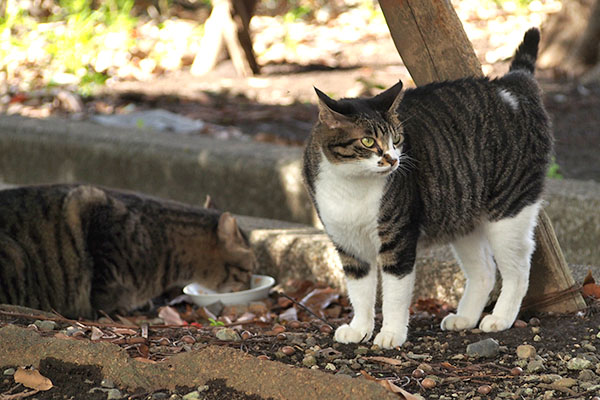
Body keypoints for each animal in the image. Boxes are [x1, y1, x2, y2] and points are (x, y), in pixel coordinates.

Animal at [0, 184, 255, 318]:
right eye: (251, 270)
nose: (251, 284)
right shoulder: (91, 210)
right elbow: (100, 290)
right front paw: (112, 310)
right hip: (15, 255)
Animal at [304, 28, 552, 346]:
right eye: (368, 142)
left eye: (396, 139)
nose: (393, 159)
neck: (352, 185)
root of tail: (511, 85)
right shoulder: (348, 243)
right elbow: (359, 291)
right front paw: (359, 329)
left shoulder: (398, 239)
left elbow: (395, 294)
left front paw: (391, 334)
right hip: (461, 213)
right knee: (485, 271)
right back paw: (465, 318)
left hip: (510, 209)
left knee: (518, 270)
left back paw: (500, 318)